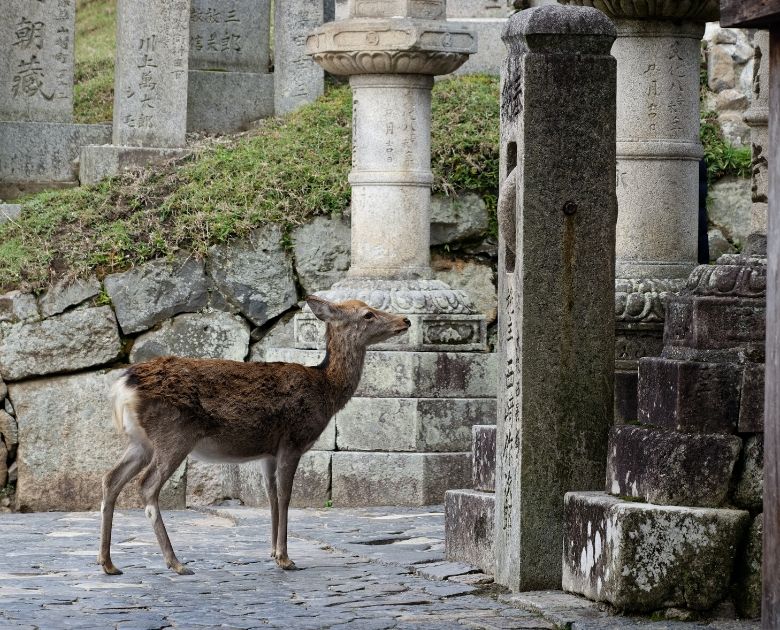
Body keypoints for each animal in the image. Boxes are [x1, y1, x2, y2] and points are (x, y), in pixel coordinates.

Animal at [100, 296, 412, 576]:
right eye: (368, 314)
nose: (406, 320)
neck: (326, 391)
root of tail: (123, 386)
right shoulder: (293, 440)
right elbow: (285, 495)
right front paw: (285, 558)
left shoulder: (267, 452)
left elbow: (270, 496)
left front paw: (272, 552)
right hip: (173, 435)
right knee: (147, 485)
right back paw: (175, 563)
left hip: (140, 442)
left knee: (111, 479)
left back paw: (108, 563)